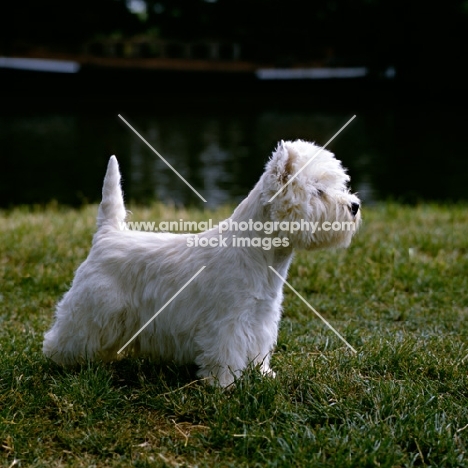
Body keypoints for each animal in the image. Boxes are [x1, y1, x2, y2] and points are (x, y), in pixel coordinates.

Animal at [44, 140, 360, 388]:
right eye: (318, 191)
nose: (355, 206)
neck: (264, 255)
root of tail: (108, 233)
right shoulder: (227, 321)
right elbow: (225, 352)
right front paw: (225, 385)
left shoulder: (262, 316)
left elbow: (259, 349)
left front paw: (263, 374)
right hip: (92, 307)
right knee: (63, 335)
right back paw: (59, 363)